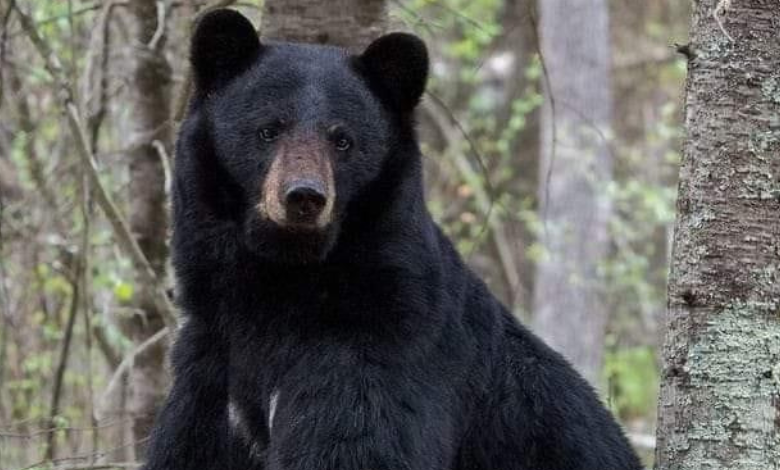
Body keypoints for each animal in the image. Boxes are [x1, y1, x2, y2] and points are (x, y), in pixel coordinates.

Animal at [143, 8, 643, 470]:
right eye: (268, 129)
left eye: (342, 139)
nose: (304, 197)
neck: (281, 282)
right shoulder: (212, 362)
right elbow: (190, 445)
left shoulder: (380, 341)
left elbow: (356, 443)